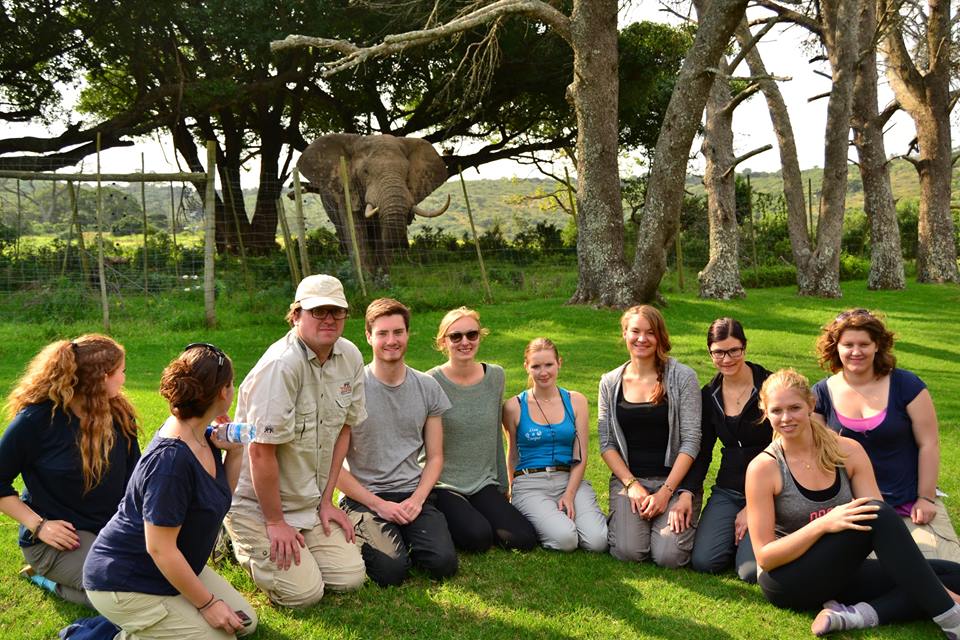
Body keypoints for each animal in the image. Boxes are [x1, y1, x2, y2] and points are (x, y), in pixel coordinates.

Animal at [296, 134, 450, 274]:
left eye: (407, 172)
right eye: (365, 172)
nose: (403, 245)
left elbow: (379, 235)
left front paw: (383, 280)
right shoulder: (346, 190)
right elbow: (356, 231)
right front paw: (368, 281)